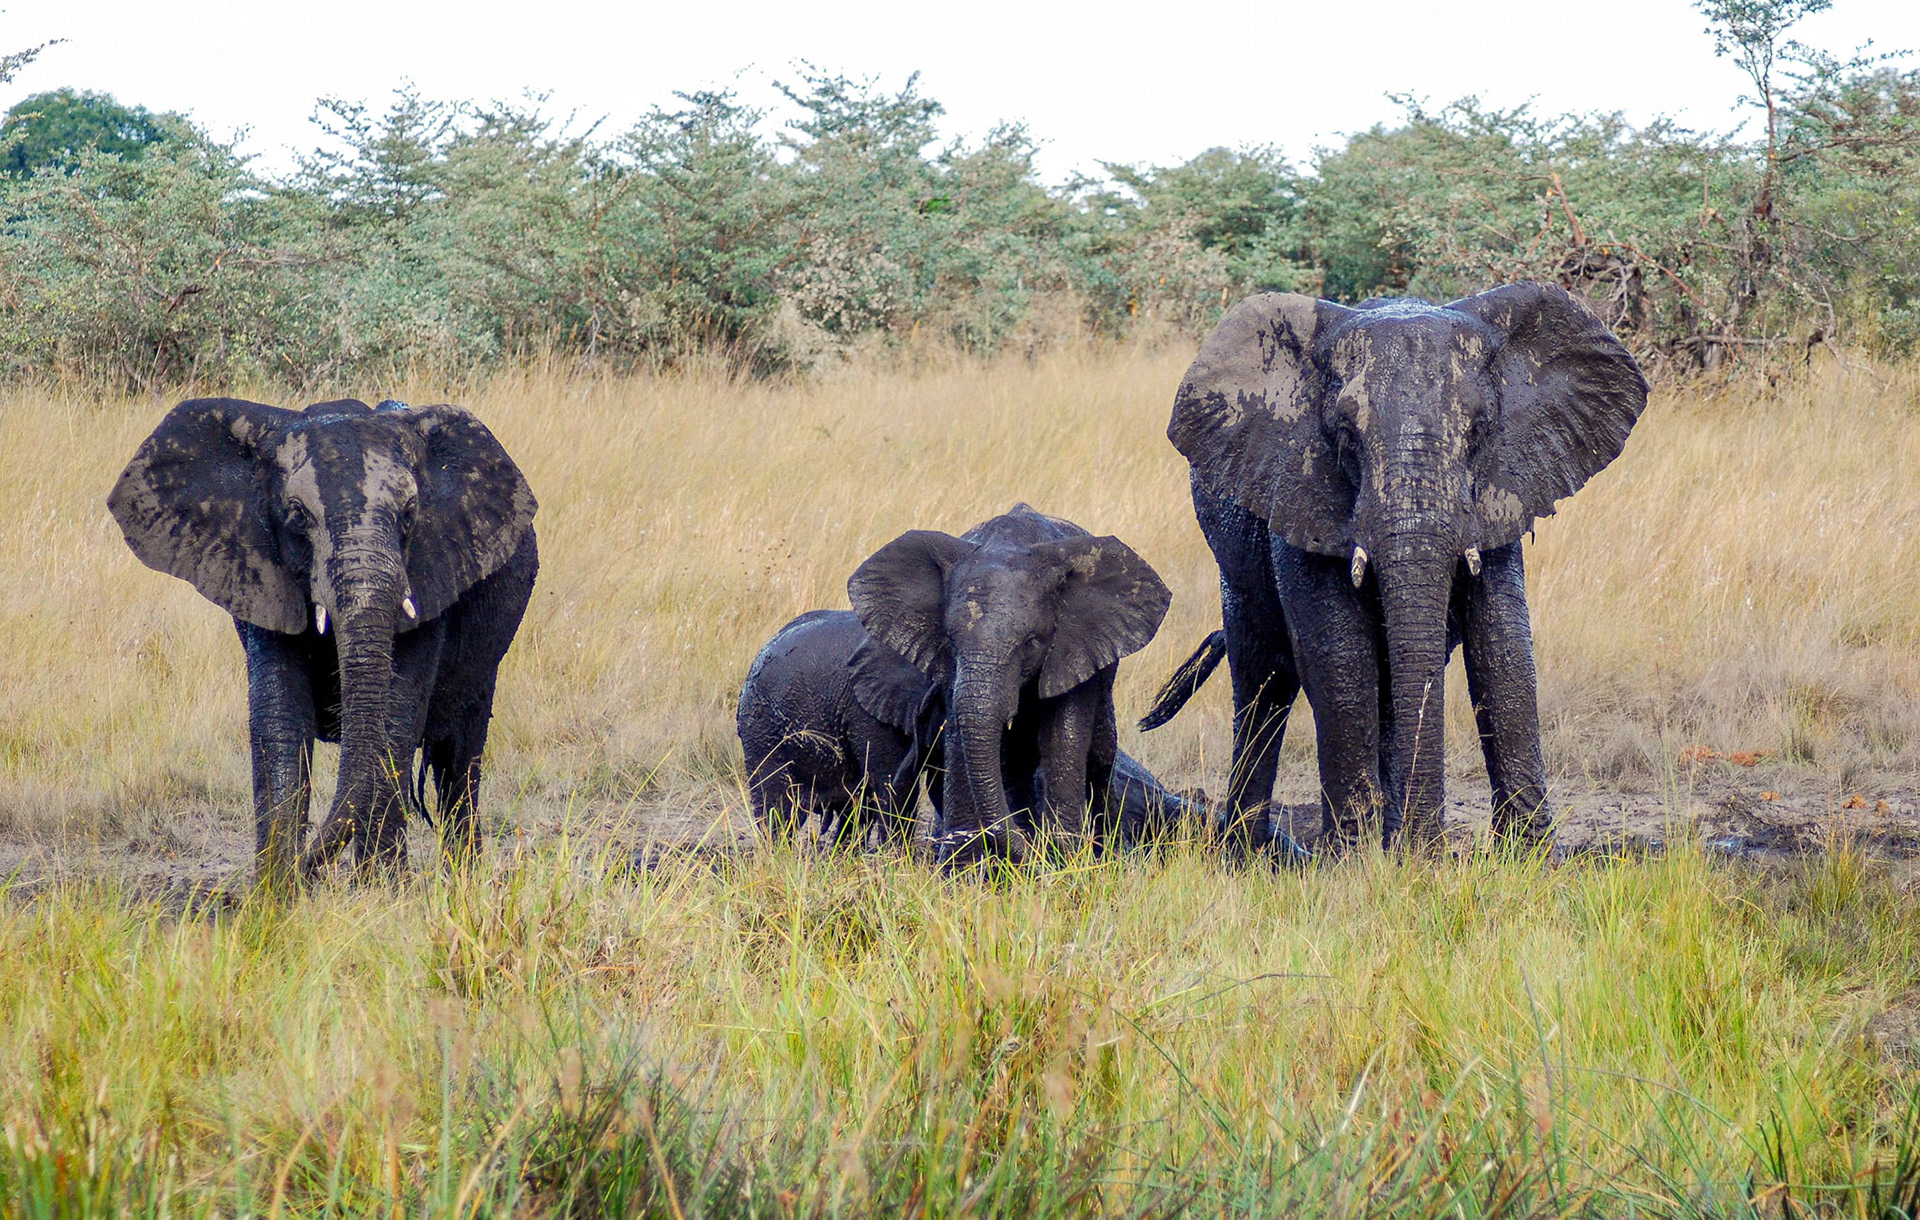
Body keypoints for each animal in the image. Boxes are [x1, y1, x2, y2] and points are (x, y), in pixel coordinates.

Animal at [108, 396, 537, 887]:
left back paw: (463, 883)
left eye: (411, 514)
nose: (306, 872)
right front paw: (274, 895)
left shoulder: (432, 573)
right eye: (297, 516)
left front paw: (379, 893)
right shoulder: (260, 574)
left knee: (459, 762)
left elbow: (392, 723)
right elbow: (279, 721)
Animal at [848, 504, 1172, 863]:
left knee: (1100, 756)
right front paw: (965, 865)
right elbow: (962, 732)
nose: (1029, 850)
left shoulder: (1074, 645)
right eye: (950, 640)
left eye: (1031, 643)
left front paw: (1064, 859)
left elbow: (1063, 735)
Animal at [1142, 285, 1647, 851]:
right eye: (1345, 435)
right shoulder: (1299, 488)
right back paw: (1251, 853)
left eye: (1478, 432)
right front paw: (1356, 860)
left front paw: (1525, 857)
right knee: (1263, 676)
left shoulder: (1504, 490)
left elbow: (1503, 643)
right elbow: (1338, 650)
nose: (1427, 849)